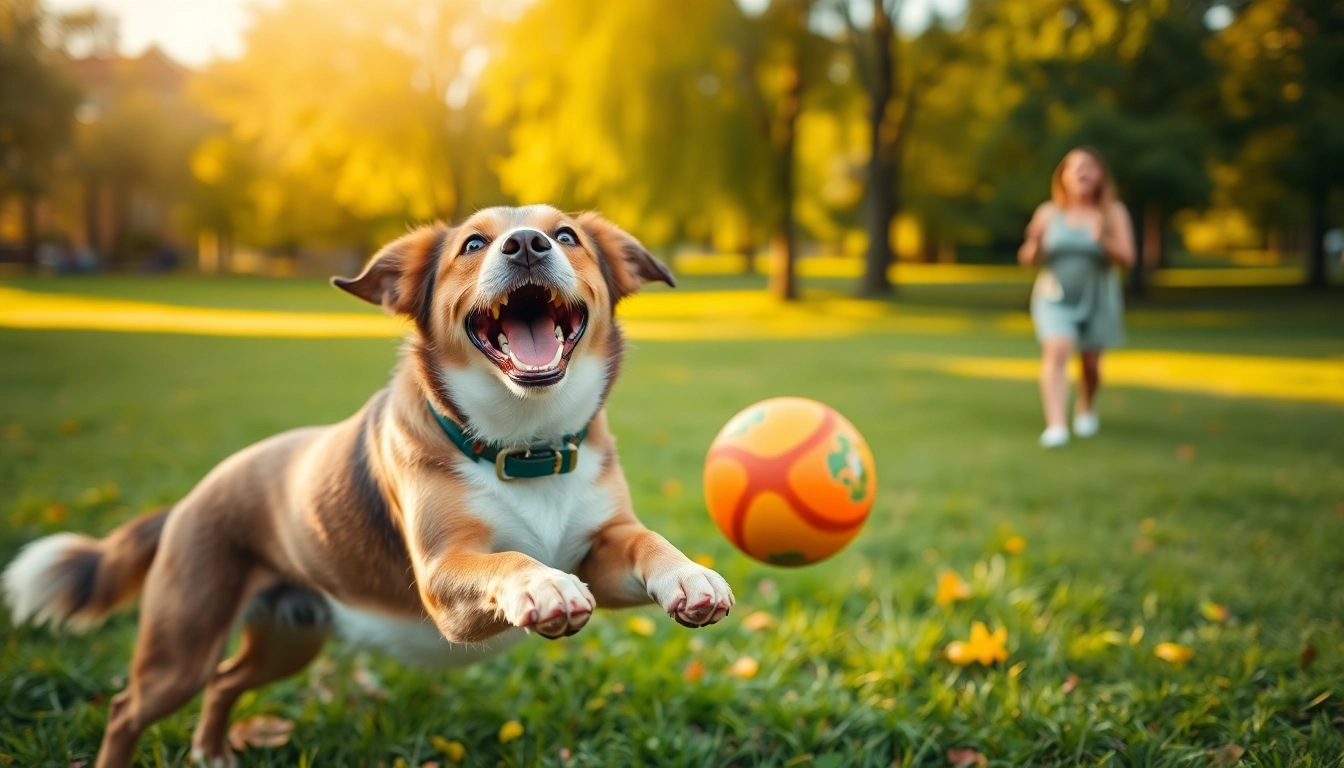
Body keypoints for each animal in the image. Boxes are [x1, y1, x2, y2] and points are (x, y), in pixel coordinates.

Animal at [0, 205, 736, 768]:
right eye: (473, 244)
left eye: (566, 235)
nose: (526, 243)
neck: (523, 446)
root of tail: (188, 499)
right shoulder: (443, 580)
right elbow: (506, 560)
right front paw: (540, 585)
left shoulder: (601, 550)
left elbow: (646, 544)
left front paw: (689, 575)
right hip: (180, 643)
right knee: (128, 708)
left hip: (287, 638)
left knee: (227, 681)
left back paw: (212, 752)